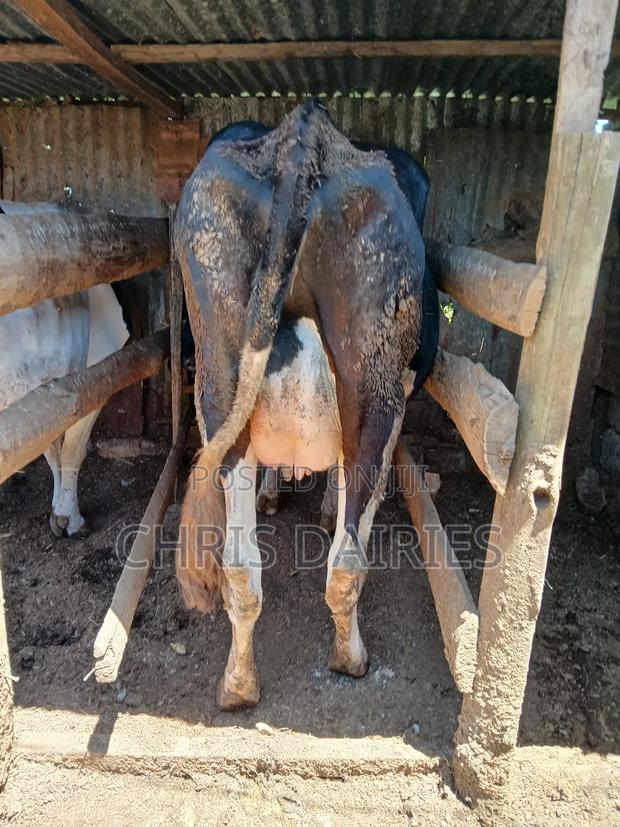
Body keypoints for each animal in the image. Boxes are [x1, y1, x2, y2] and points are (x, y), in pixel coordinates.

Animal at [174, 100, 438, 710]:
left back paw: (238, 686)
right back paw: (350, 658)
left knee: (239, 569)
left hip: (217, 374)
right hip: (377, 393)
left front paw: (276, 494)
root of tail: (300, 137)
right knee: (347, 561)